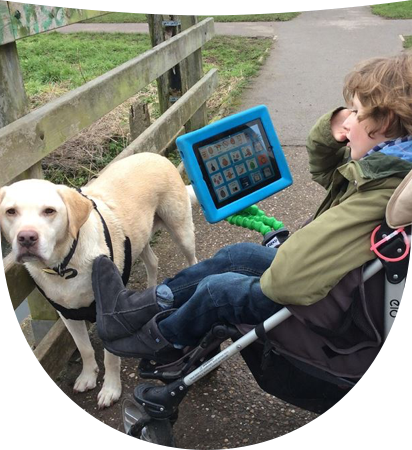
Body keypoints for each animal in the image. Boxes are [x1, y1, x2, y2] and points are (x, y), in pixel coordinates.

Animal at [0, 153, 198, 410]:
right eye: (10, 212)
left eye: (49, 211)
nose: (26, 238)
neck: (65, 265)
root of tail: (154, 155)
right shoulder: (68, 315)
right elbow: (84, 348)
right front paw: (87, 376)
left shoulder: (107, 316)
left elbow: (110, 357)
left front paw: (111, 389)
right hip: (139, 239)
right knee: (152, 262)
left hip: (181, 230)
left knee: (192, 258)